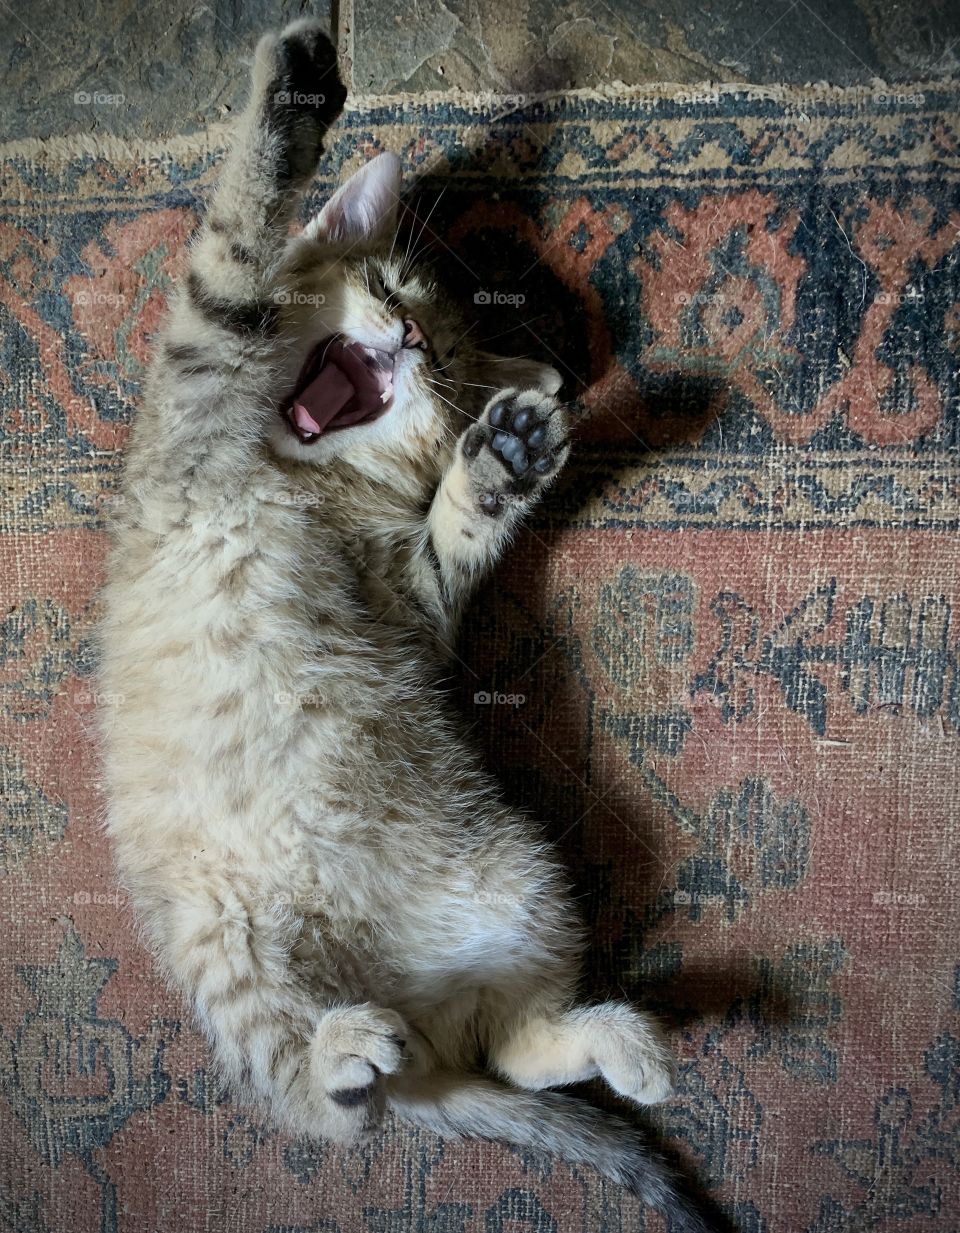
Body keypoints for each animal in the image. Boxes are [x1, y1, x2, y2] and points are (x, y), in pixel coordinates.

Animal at [97, 21, 709, 1233]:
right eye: (384, 282)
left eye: (453, 363)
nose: (415, 335)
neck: (303, 477)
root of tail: (412, 1027)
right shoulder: (196, 378)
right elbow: (238, 242)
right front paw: (289, 94)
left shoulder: (415, 602)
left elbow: (452, 540)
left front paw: (502, 461)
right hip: (229, 952)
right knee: (324, 1102)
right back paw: (344, 1052)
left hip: (525, 882)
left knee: (510, 1050)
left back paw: (617, 1046)